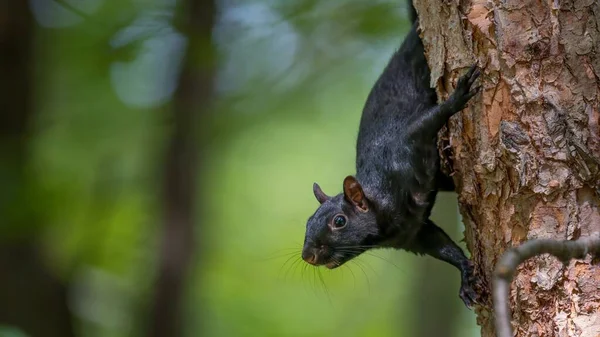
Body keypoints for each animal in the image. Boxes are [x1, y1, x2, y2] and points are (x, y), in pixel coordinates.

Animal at [302, 4, 480, 308]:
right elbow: (443, 247)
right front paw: (466, 275)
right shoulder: (413, 235)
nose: (307, 255)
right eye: (307, 222)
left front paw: (458, 97)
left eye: (339, 221)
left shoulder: (405, 142)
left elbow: (432, 119)